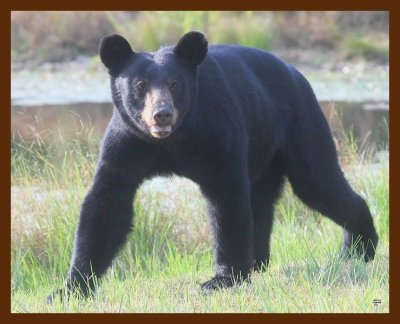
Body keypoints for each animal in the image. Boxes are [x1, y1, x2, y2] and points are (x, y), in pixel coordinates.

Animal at [47, 31, 378, 300]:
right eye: (140, 85)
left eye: (174, 83)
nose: (161, 114)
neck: (171, 140)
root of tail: (297, 73)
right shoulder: (128, 142)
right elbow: (107, 202)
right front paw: (70, 288)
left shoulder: (216, 131)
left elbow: (226, 197)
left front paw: (222, 279)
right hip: (264, 148)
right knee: (263, 199)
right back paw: (259, 261)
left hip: (299, 124)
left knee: (318, 181)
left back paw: (360, 246)